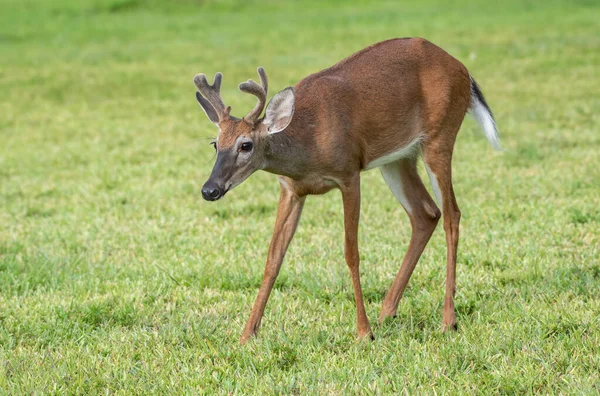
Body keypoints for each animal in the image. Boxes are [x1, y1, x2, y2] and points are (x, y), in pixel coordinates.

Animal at [195, 37, 500, 344]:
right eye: (215, 144)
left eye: (246, 145)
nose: (209, 190)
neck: (307, 143)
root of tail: (463, 70)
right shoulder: (291, 190)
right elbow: (273, 257)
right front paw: (247, 334)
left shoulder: (349, 174)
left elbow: (351, 253)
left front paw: (364, 331)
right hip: (398, 158)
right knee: (426, 213)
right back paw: (387, 313)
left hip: (440, 137)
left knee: (452, 215)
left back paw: (448, 320)